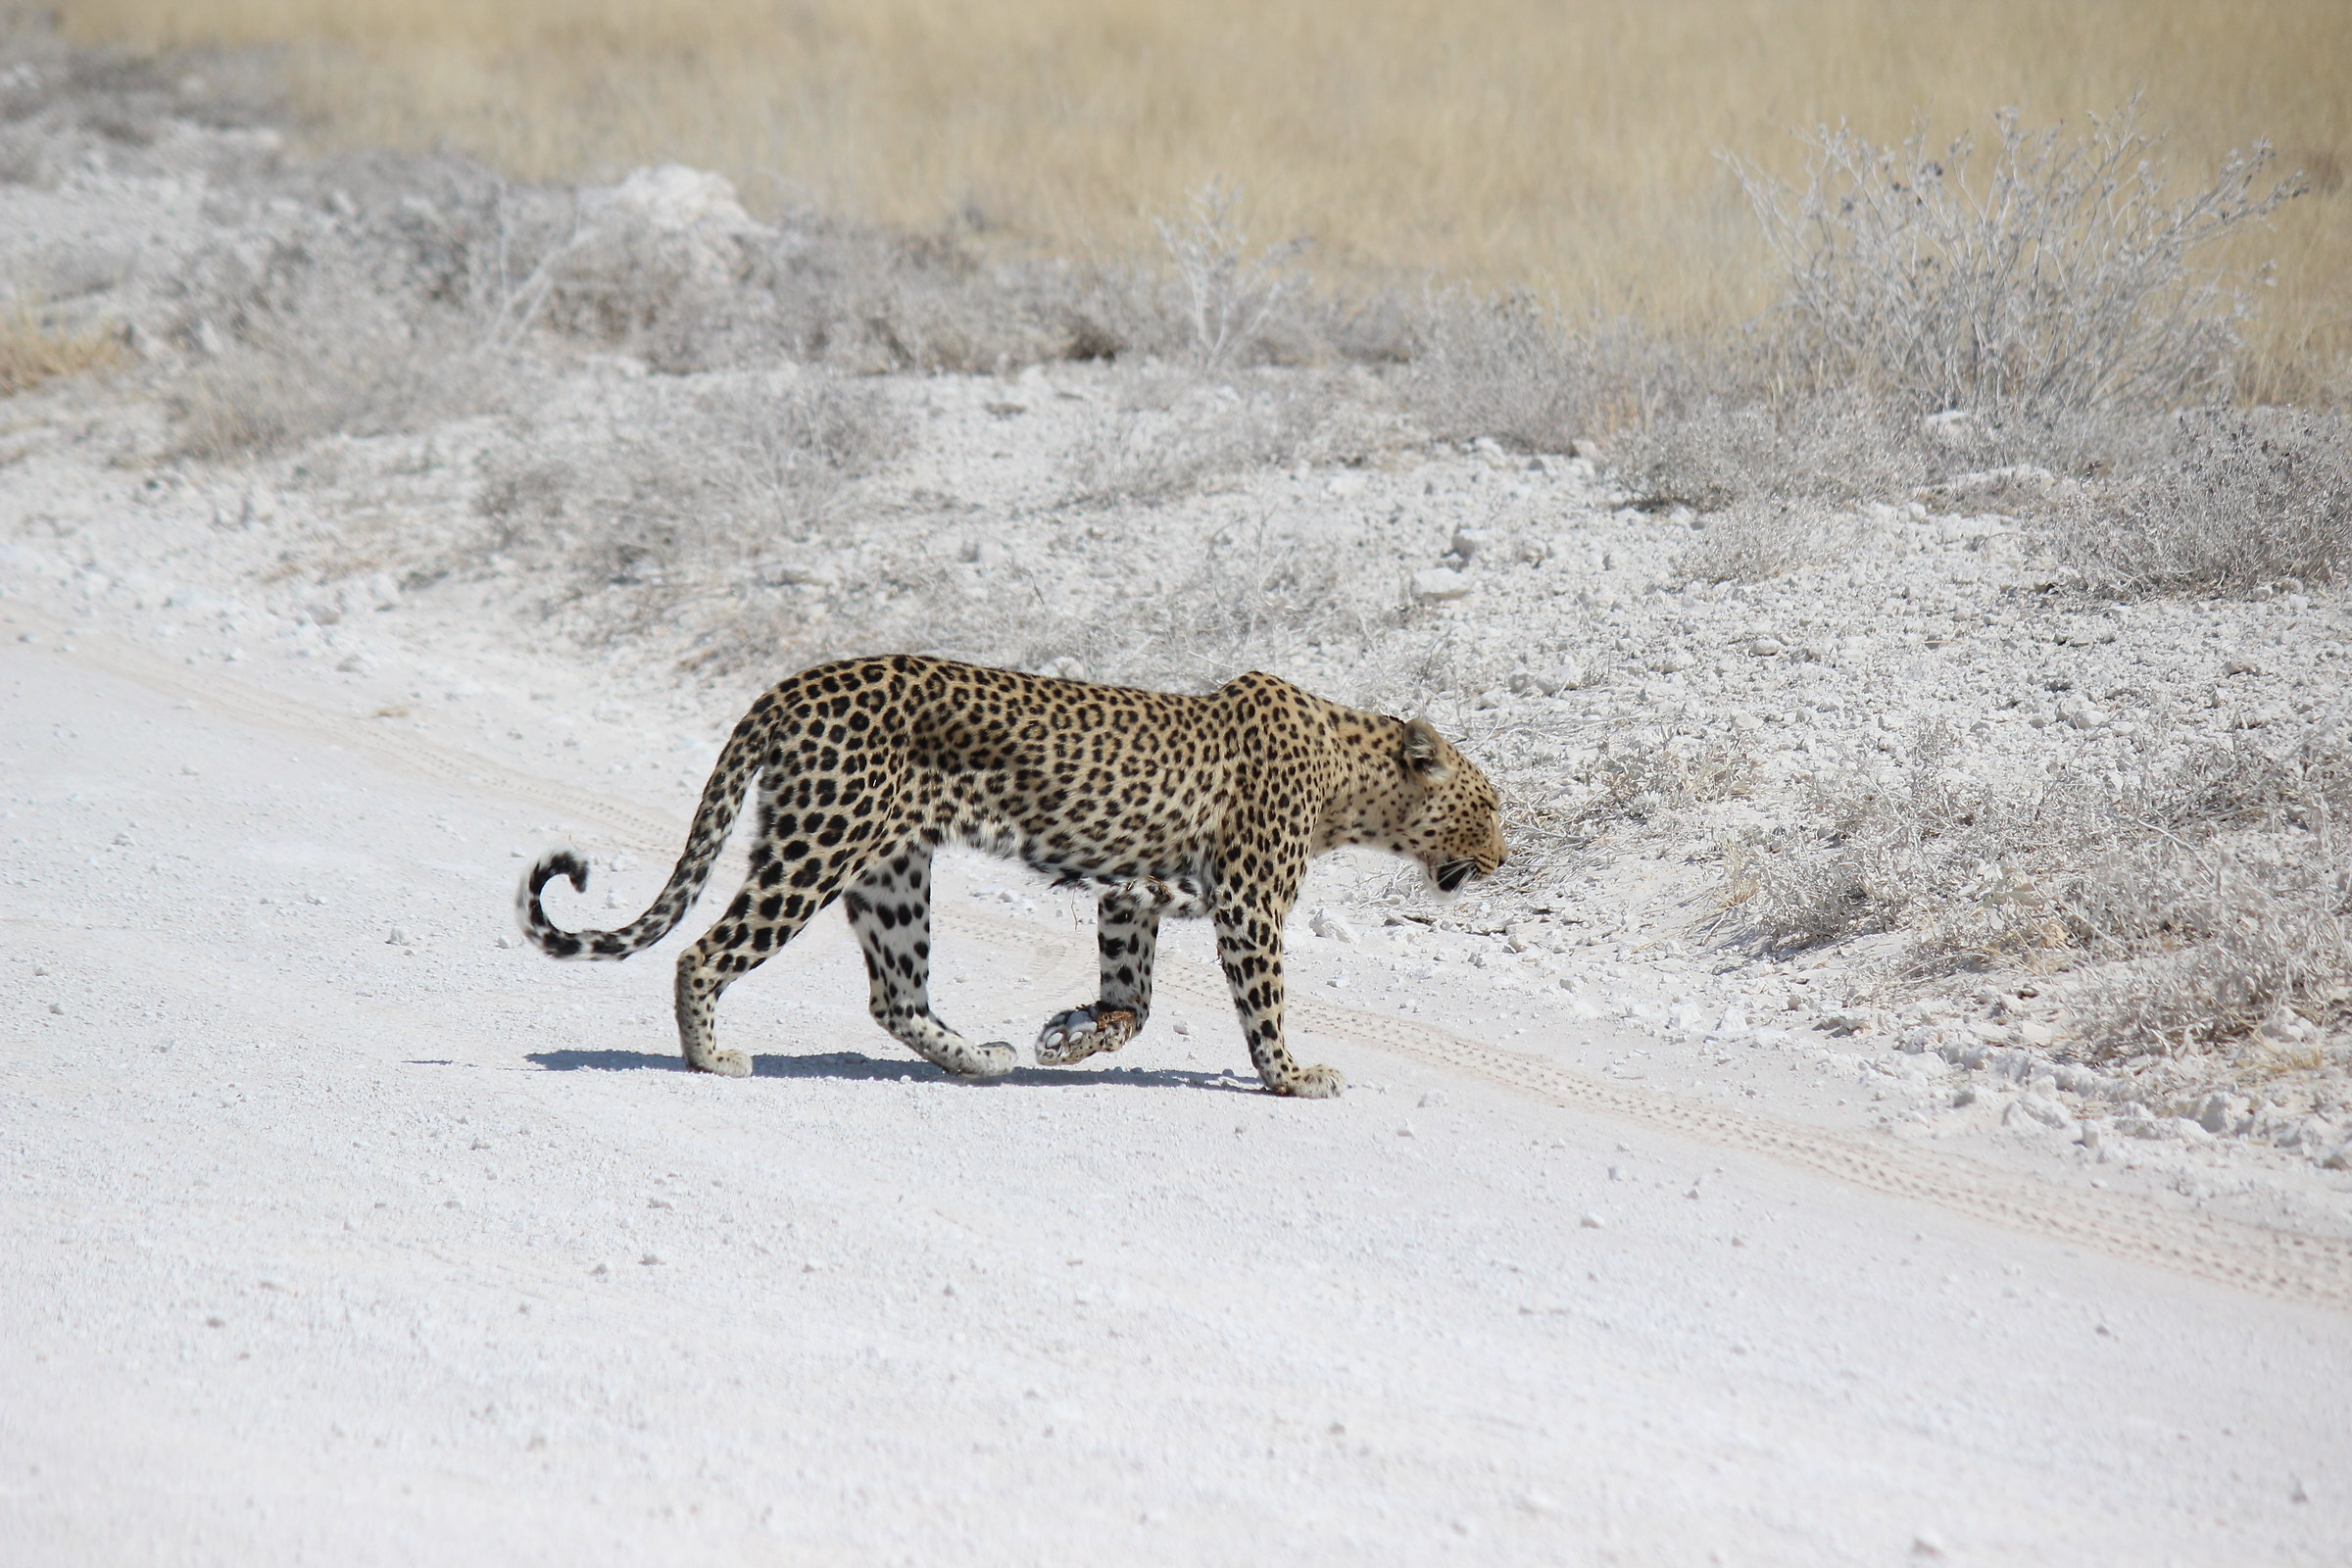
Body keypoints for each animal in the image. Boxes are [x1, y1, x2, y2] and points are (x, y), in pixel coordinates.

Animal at [516, 654, 1505, 1096]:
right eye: (1489, 805)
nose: (1503, 857)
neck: (1350, 782)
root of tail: (793, 684)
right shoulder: (1249, 904)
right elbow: (1262, 1006)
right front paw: (1293, 1077)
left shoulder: (1137, 891)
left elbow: (1135, 999)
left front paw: (1068, 1037)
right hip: (818, 848)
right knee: (706, 951)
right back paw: (710, 1056)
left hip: (891, 871)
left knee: (895, 995)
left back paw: (980, 1061)